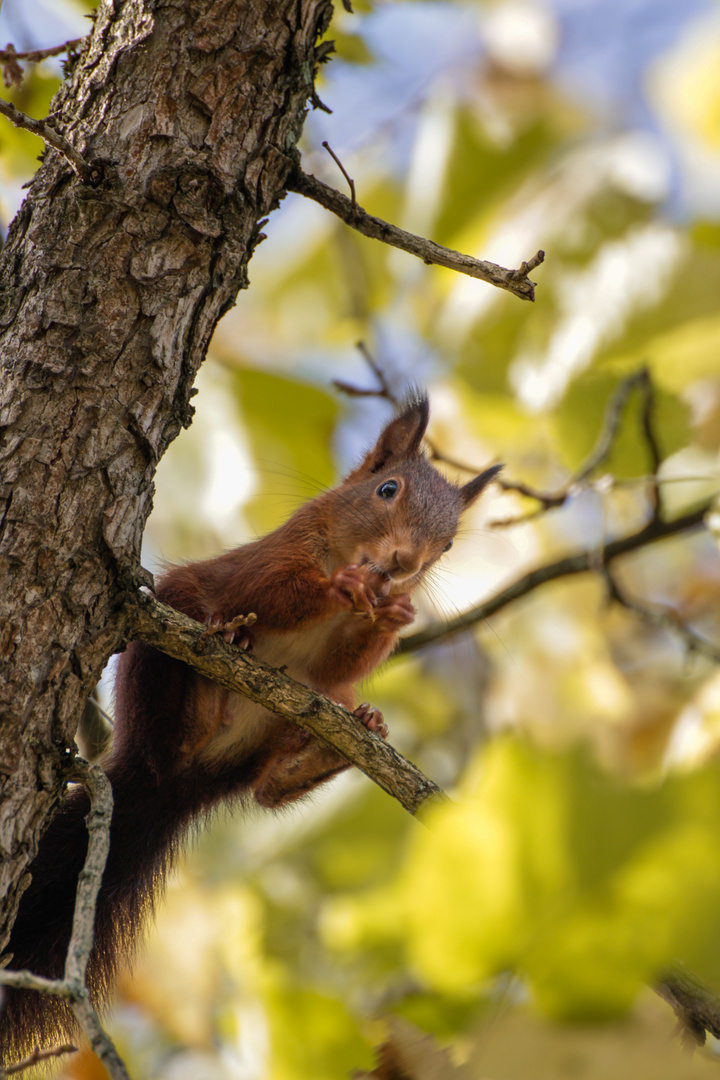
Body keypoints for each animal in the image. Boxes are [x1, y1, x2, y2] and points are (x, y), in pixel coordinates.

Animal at [1, 393, 500, 1058]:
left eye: (446, 547)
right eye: (387, 488)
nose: (404, 564)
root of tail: (171, 790)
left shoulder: (338, 667)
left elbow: (349, 661)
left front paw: (391, 614)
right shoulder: (271, 559)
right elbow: (275, 592)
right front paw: (340, 587)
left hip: (289, 726)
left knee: (268, 787)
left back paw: (331, 747)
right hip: (165, 649)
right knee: (171, 731)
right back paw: (212, 678)